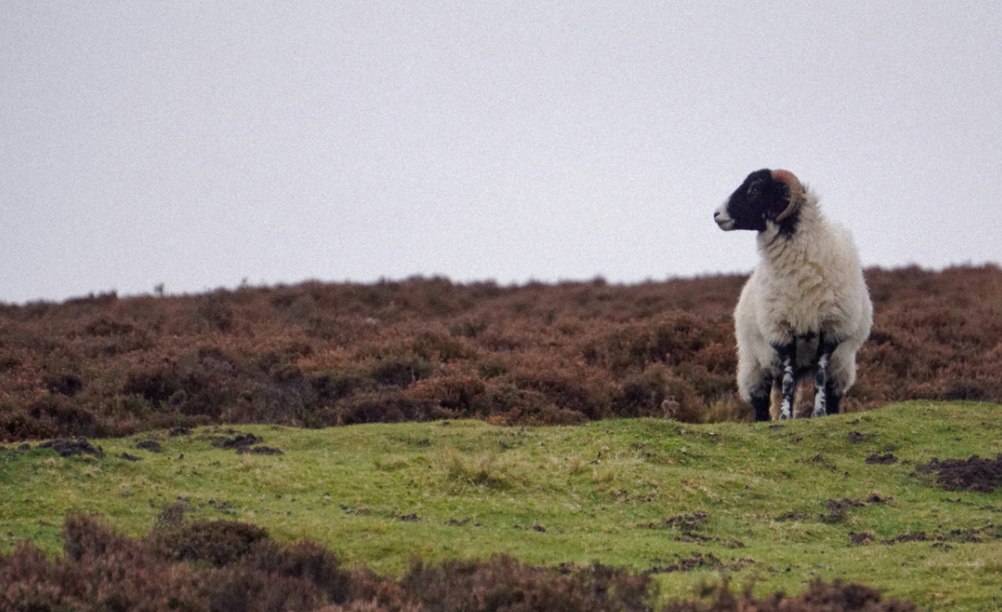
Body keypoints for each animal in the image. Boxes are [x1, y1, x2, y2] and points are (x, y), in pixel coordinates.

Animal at [713, 170, 869, 424]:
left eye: (755, 189)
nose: (716, 214)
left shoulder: (831, 329)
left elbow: (820, 376)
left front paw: (818, 413)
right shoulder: (781, 330)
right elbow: (788, 380)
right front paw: (786, 417)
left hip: (843, 365)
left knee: (832, 391)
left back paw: (829, 411)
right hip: (755, 363)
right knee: (761, 400)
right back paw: (764, 421)